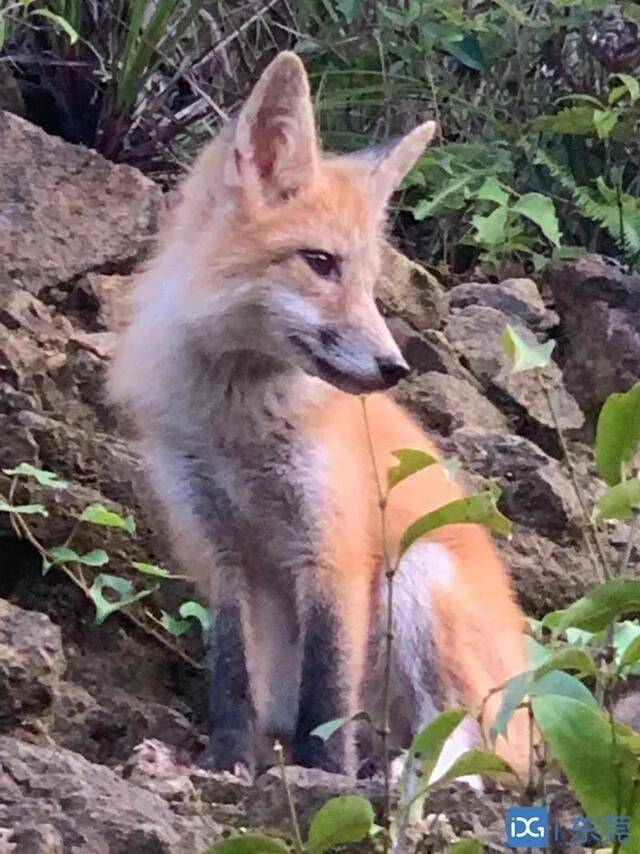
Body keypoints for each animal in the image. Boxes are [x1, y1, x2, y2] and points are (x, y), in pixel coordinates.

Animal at [111, 46, 528, 784]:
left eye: (368, 284)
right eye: (320, 263)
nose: (395, 367)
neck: (238, 432)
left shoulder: (333, 547)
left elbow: (328, 689)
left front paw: (322, 776)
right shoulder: (221, 550)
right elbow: (232, 676)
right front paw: (226, 760)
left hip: (417, 574)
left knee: (473, 750)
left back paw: (405, 775)